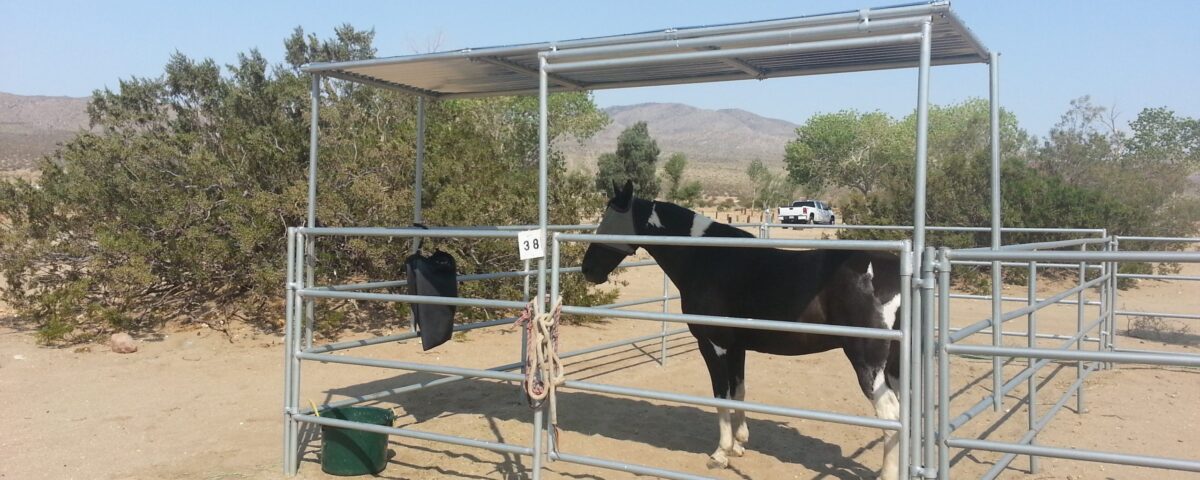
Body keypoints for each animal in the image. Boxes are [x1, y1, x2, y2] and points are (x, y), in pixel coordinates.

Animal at [580, 181, 903, 480]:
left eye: (609, 221)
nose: (588, 269)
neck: (707, 258)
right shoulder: (737, 347)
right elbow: (739, 390)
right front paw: (739, 444)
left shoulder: (714, 344)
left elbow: (720, 394)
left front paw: (721, 453)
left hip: (868, 364)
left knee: (890, 415)